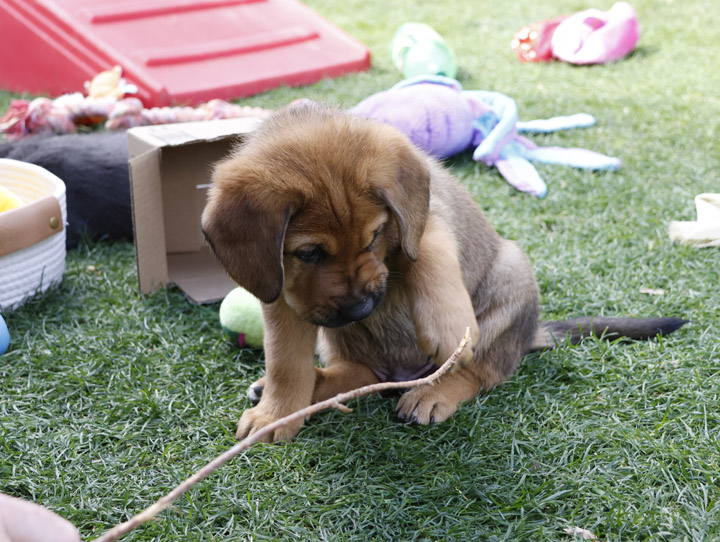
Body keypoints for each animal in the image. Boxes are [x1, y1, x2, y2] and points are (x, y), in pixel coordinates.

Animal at [202, 104, 688, 444]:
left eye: (374, 236)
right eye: (309, 253)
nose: (362, 308)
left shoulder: (425, 224)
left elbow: (430, 262)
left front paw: (449, 328)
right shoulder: (282, 297)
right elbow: (286, 363)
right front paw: (275, 413)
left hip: (512, 276)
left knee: (481, 373)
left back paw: (434, 391)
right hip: (338, 341)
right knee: (363, 375)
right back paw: (311, 386)